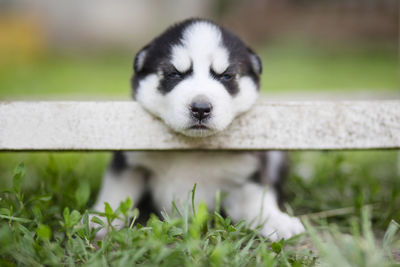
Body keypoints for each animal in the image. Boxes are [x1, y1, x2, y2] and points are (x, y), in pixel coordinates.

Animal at [93, 18, 304, 241]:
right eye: (174, 74)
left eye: (226, 76)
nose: (201, 108)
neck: (194, 148)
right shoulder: (130, 162)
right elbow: (116, 192)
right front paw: (100, 220)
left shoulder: (246, 171)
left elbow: (258, 200)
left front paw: (278, 221)